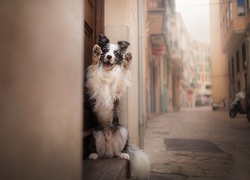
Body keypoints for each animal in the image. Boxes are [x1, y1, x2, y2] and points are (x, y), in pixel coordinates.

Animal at [85, 34, 150, 179]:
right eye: (105, 50)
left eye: (116, 53)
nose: (109, 57)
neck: (107, 72)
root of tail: (108, 149)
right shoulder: (94, 86)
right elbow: (94, 68)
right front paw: (95, 53)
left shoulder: (116, 90)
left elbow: (123, 73)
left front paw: (127, 60)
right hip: (96, 133)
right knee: (96, 150)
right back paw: (93, 154)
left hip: (123, 130)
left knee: (118, 151)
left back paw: (123, 154)